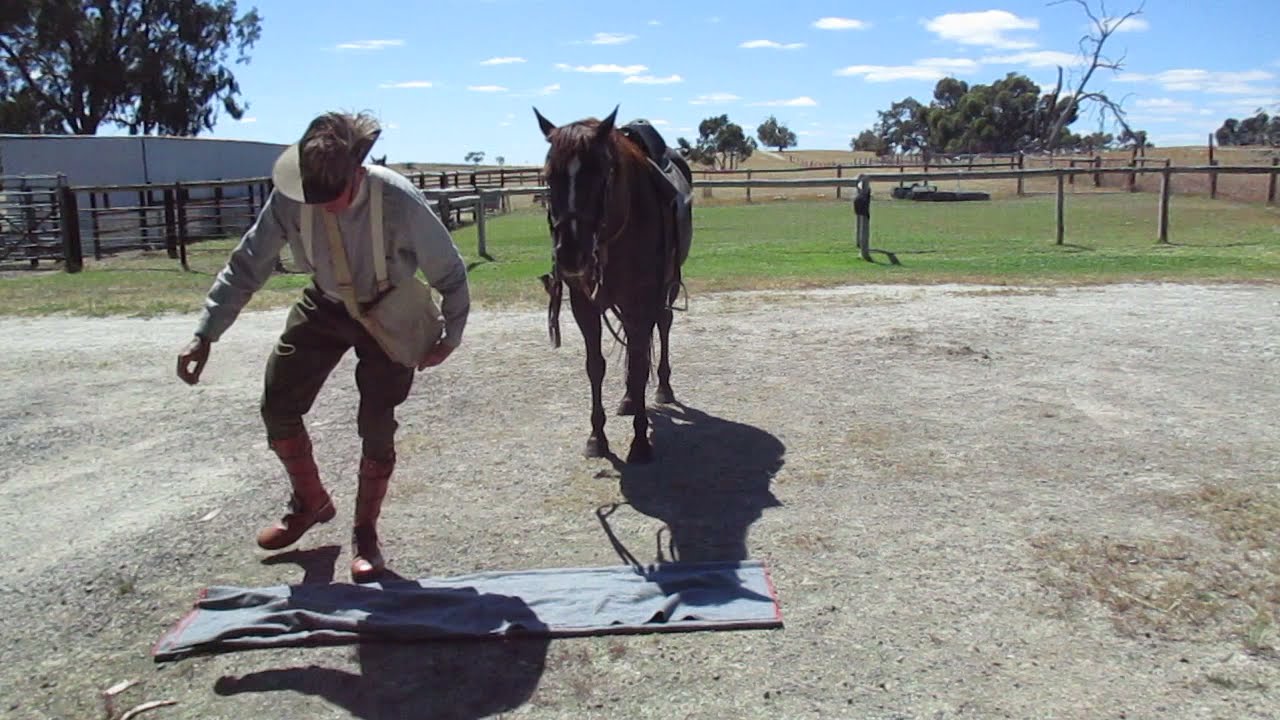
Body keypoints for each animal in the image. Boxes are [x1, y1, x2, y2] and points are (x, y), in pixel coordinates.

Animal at [534, 106, 691, 464]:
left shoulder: (641, 302)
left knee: (662, 327)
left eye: (602, 173)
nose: (571, 253)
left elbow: (639, 364)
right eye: (549, 175)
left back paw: (661, 388)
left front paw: (640, 443)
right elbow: (596, 366)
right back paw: (630, 399)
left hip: (666, 289)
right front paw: (597, 437)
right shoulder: (585, 306)